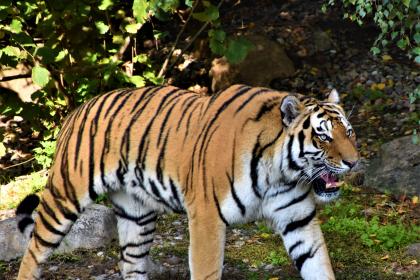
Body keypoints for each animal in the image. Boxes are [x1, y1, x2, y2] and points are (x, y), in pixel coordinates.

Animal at [16, 84, 358, 278]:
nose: (353, 162)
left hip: (137, 216)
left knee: (130, 263)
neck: (280, 172)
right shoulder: (207, 218)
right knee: (33, 253)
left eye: (349, 132)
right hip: (65, 197)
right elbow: (207, 271)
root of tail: (77, 109)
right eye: (323, 135)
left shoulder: (298, 219)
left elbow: (319, 266)